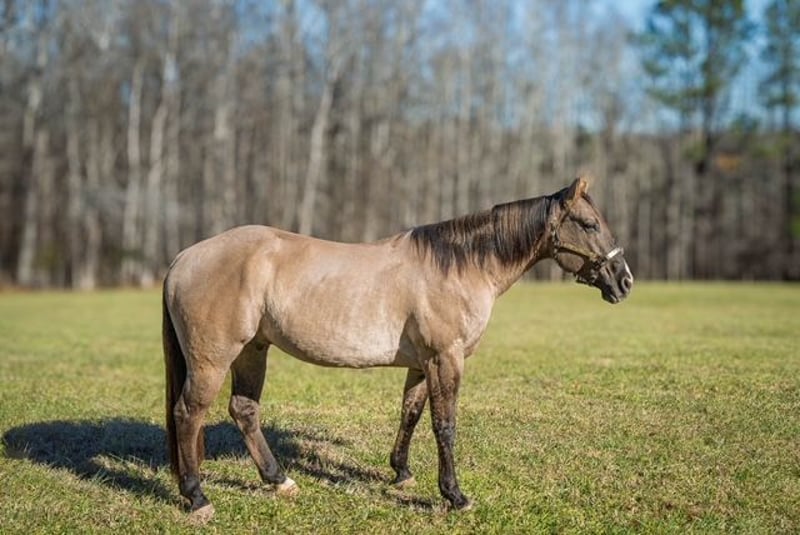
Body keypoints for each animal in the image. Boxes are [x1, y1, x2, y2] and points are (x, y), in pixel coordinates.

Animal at [163, 176, 633, 521]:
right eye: (589, 224)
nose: (624, 280)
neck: (459, 266)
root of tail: (184, 258)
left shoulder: (423, 363)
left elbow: (411, 413)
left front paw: (402, 473)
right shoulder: (446, 358)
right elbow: (445, 426)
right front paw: (455, 495)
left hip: (252, 350)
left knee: (244, 411)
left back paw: (278, 480)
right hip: (213, 359)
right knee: (188, 414)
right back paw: (197, 497)